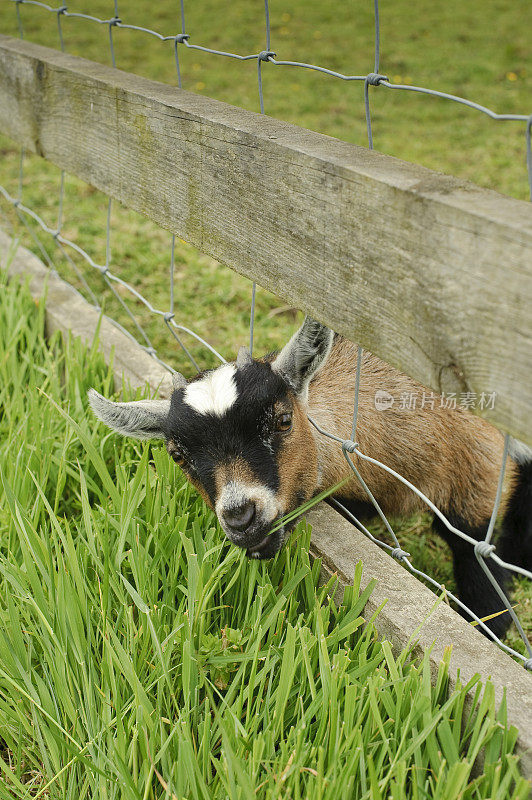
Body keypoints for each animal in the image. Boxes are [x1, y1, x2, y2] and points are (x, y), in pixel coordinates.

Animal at [89, 318, 528, 636]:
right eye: (178, 456)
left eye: (284, 421)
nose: (241, 518)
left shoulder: (479, 480)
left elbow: (482, 579)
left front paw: (491, 628)